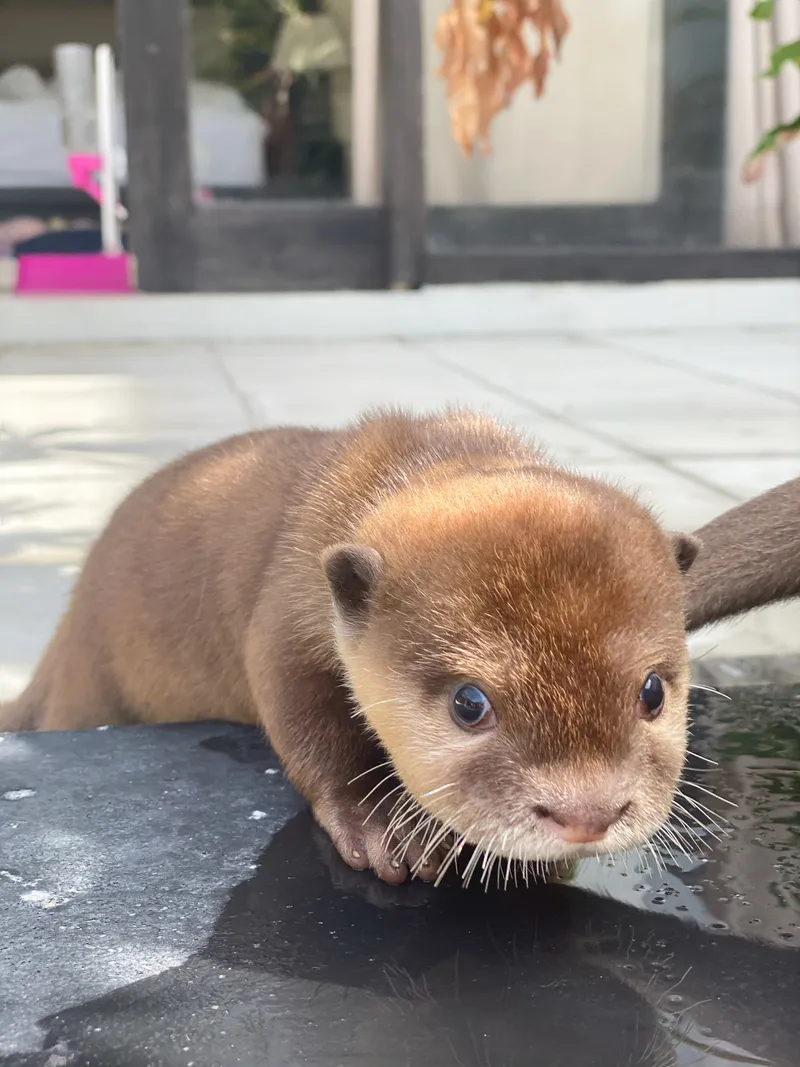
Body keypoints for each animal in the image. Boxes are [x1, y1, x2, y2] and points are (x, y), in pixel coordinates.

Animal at [0, 409, 700, 883]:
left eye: (652, 692)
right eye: (470, 704)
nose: (588, 813)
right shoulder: (287, 612)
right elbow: (306, 720)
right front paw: (376, 823)